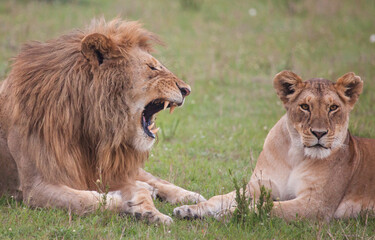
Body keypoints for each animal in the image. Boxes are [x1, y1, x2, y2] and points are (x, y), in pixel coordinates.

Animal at [0, 18, 206, 223]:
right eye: (152, 67)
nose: (187, 90)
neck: (90, 128)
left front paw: (149, 210)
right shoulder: (35, 187)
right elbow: (89, 200)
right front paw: (137, 207)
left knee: (153, 179)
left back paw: (190, 196)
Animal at [175, 71, 375, 221]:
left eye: (333, 108)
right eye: (304, 106)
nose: (319, 133)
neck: (297, 154)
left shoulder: (317, 204)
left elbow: (272, 208)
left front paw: (229, 214)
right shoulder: (258, 186)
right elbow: (219, 198)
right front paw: (189, 209)